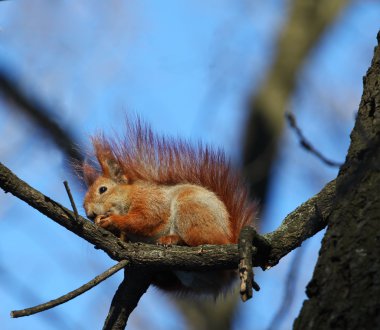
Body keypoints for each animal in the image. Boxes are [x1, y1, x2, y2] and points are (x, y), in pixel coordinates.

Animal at [82, 118, 256, 294]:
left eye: (102, 189)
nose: (89, 214)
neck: (129, 196)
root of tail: (229, 237)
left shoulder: (150, 199)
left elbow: (146, 219)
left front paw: (111, 220)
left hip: (190, 211)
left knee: (207, 241)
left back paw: (174, 239)